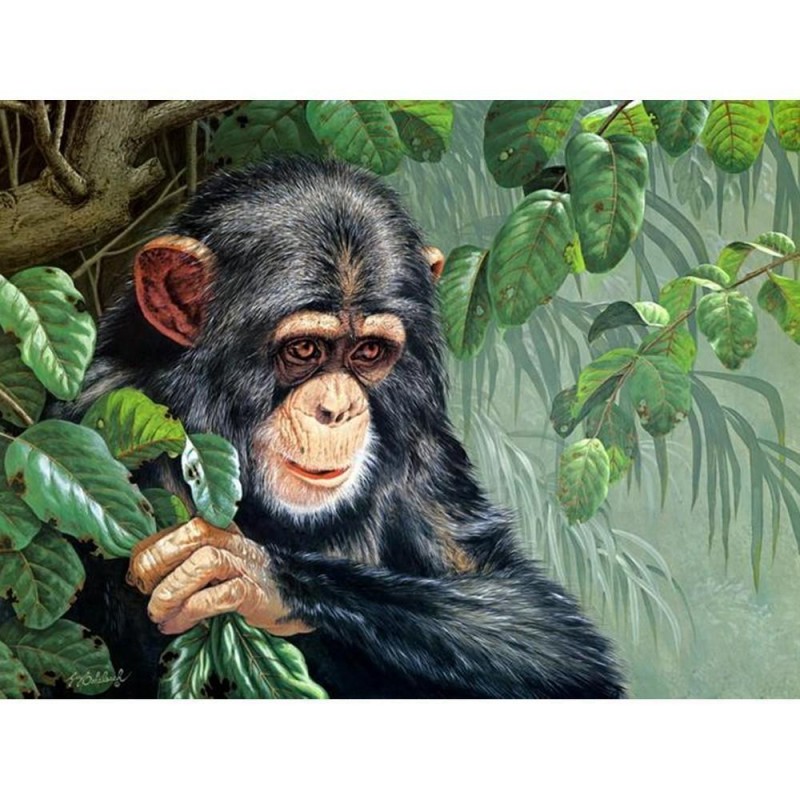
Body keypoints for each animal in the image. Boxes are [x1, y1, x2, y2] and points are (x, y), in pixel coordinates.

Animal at [62, 156, 625, 698]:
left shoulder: (425, 445)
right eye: (304, 349)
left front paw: (255, 575)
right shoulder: (111, 435)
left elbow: (549, 634)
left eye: (369, 351)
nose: (337, 408)